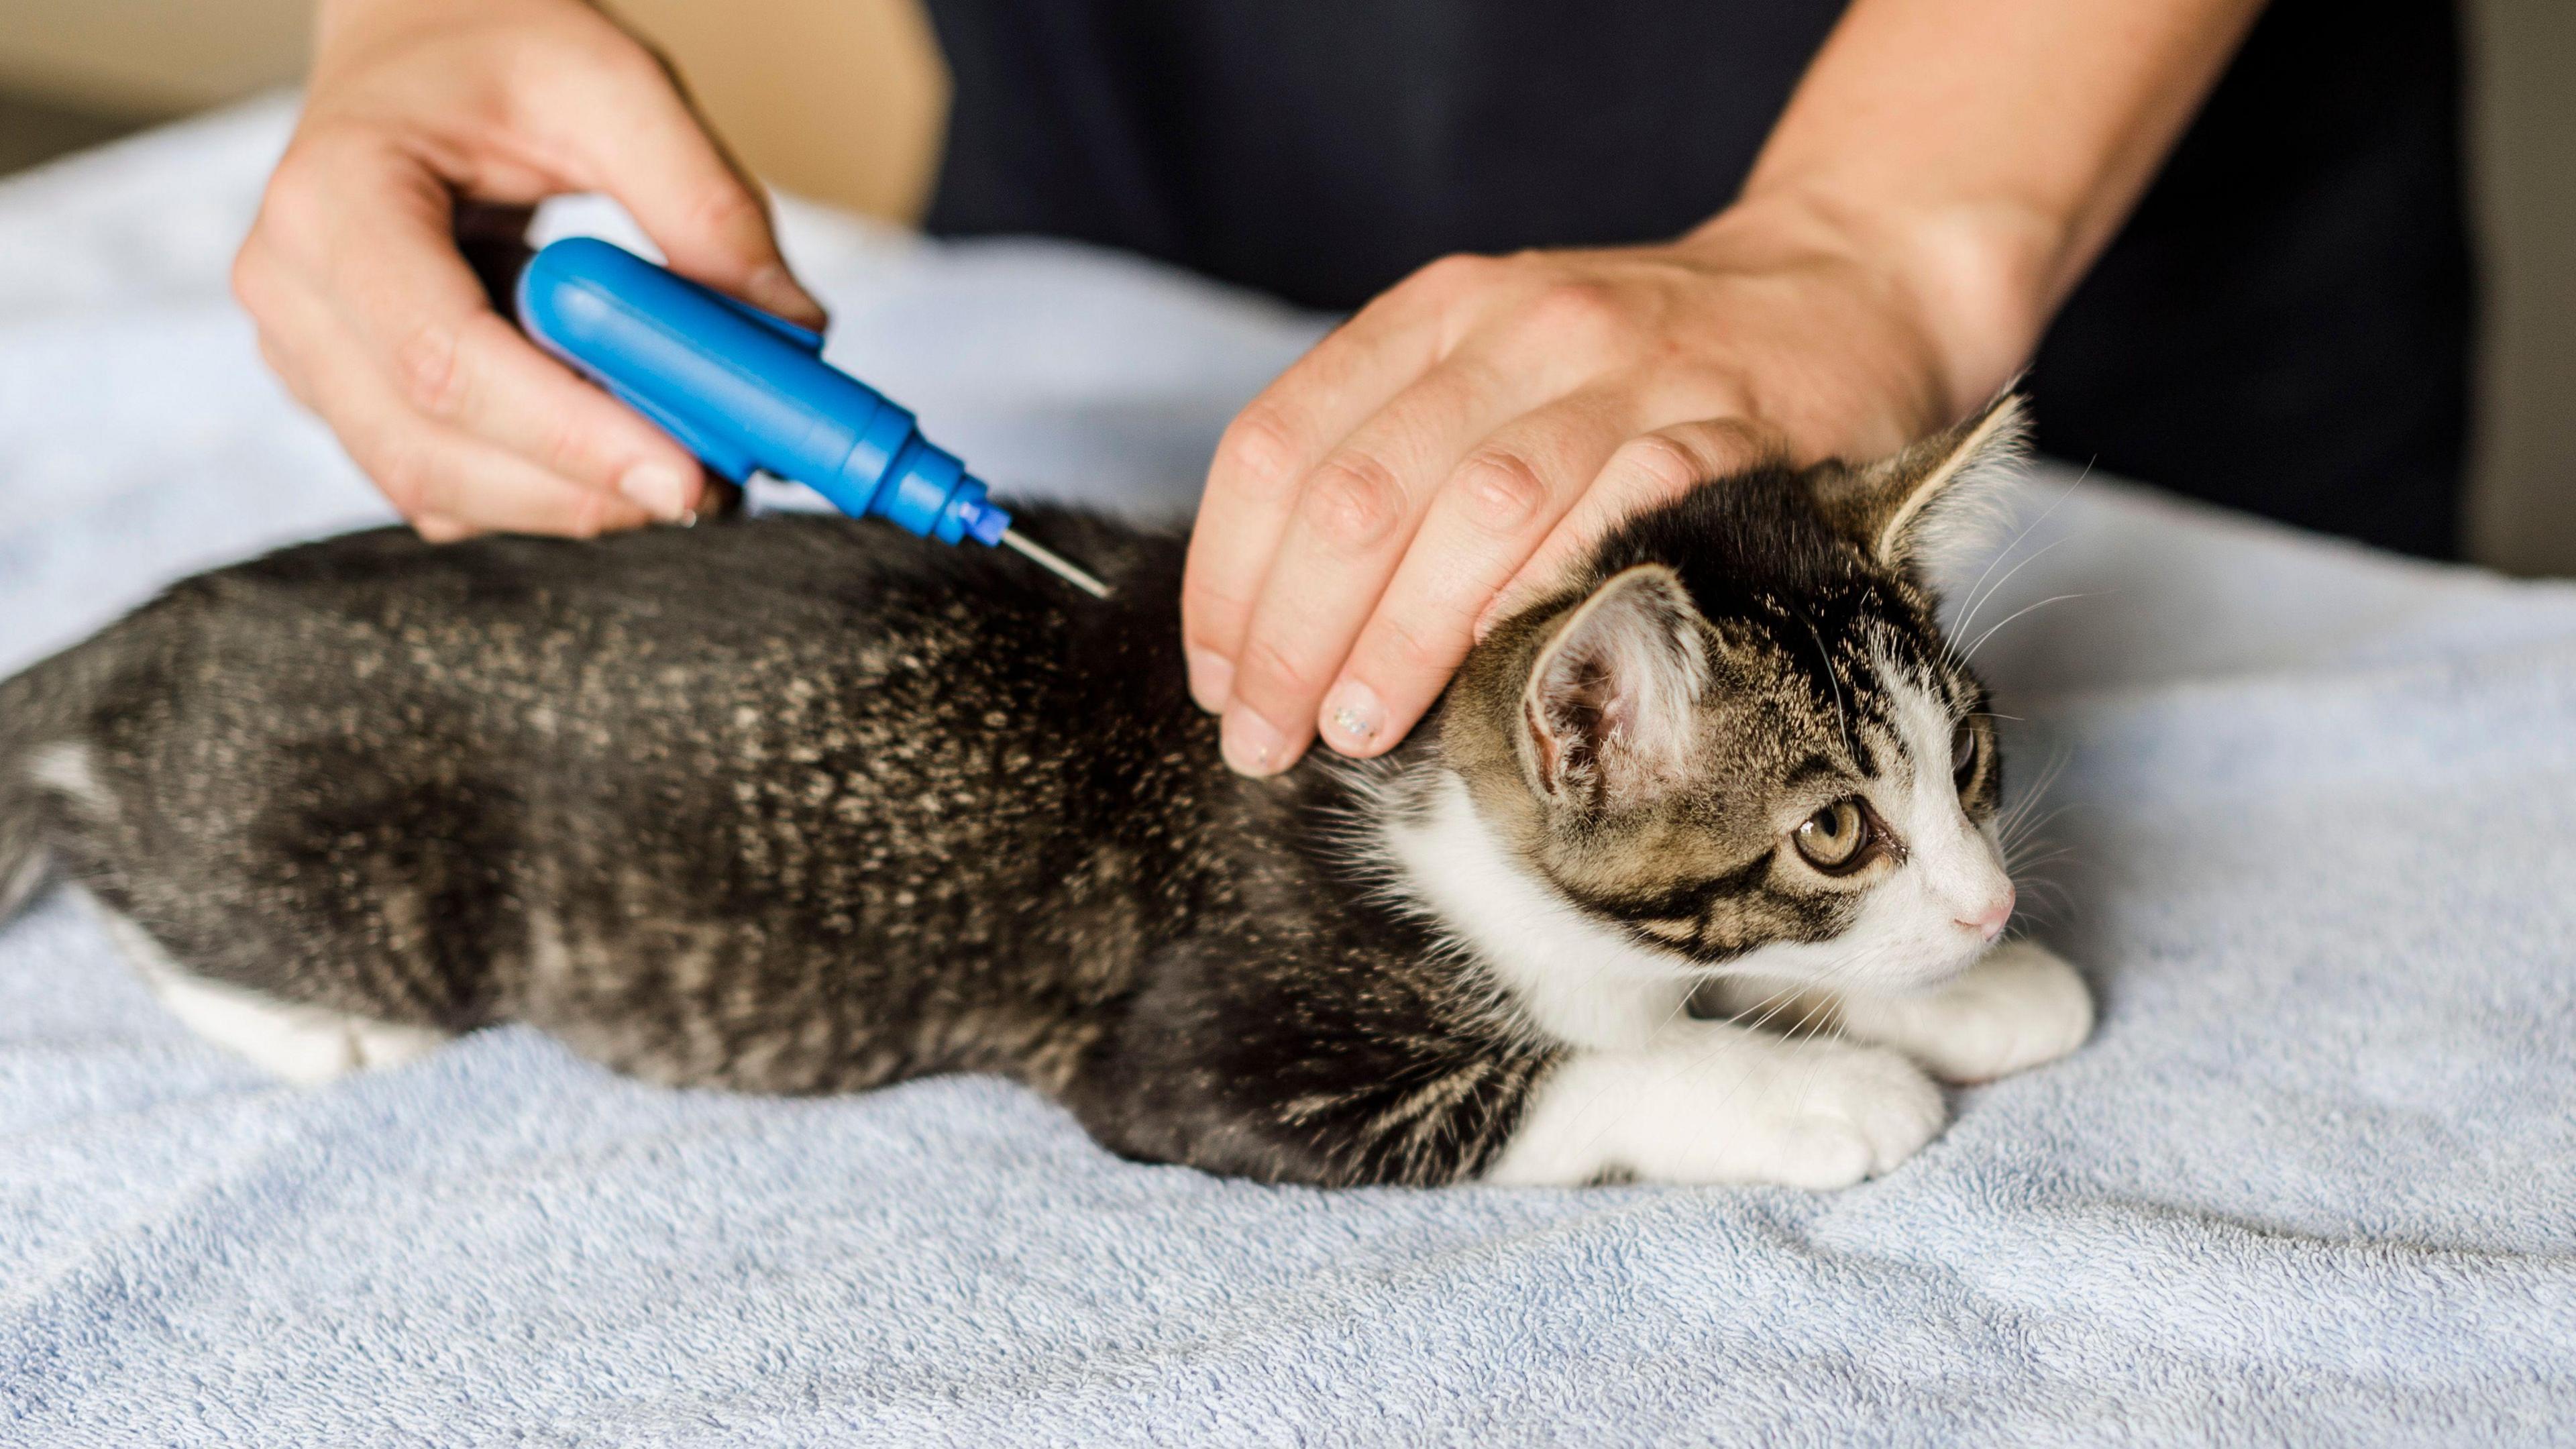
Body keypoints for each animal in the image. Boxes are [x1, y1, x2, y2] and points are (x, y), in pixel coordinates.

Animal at [0, 394, 2081, 1185]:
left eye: (1968, 762)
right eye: (1834, 828)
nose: (1986, 898)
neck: (1424, 796)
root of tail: (150, 627)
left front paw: (1977, 989)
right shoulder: (1201, 1051)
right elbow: (1572, 1074)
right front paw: (1820, 1087)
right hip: (368, 891)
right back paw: (311, 1023)